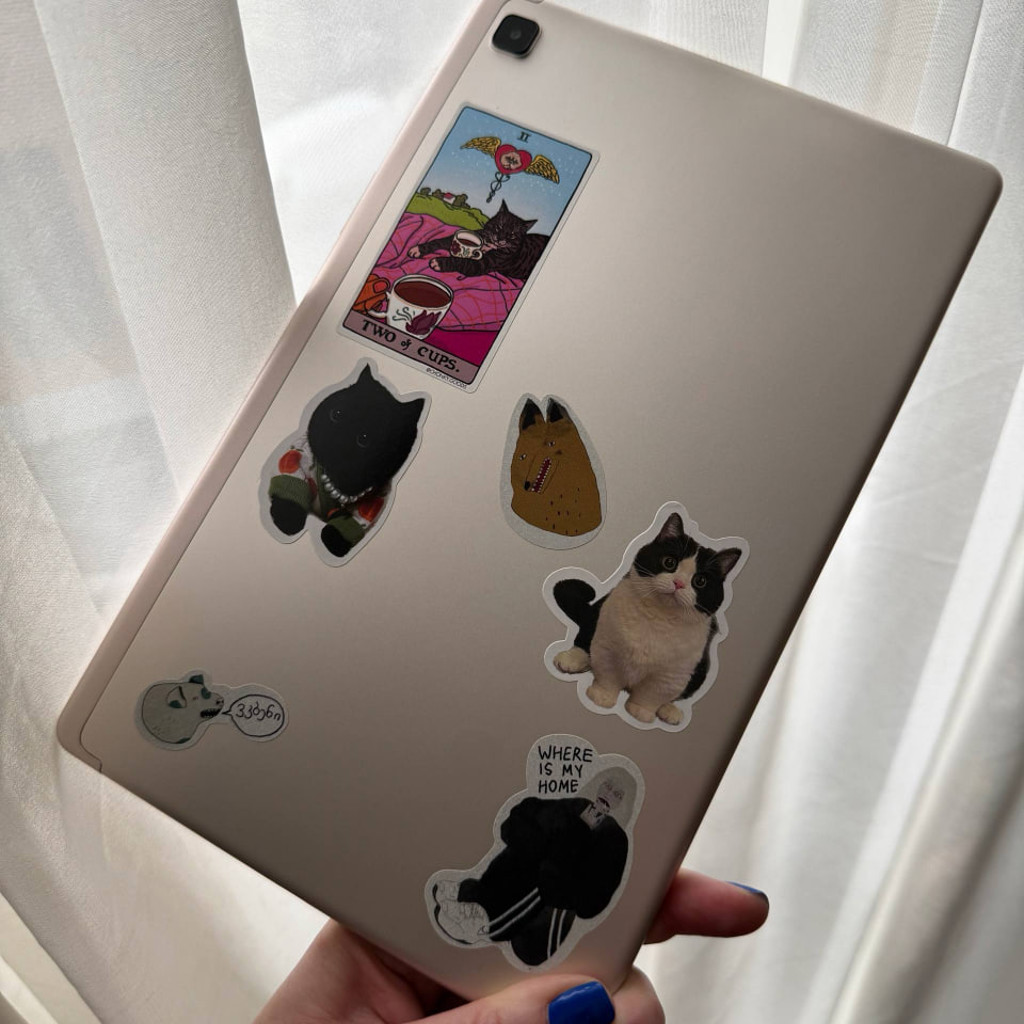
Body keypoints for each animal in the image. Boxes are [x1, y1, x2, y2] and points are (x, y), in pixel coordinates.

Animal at [267, 364, 426, 559]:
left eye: (364, 439)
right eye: (336, 414)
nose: (333, 439)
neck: (338, 480)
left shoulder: (376, 499)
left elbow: (352, 522)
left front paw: (334, 542)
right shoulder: (300, 455)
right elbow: (292, 485)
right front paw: (287, 520)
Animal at [407, 200, 549, 280]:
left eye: (513, 235)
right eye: (500, 226)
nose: (500, 239)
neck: (489, 244)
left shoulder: (481, 264)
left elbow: (461, 261)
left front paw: (438, 262)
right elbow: (440, 241)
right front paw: (418, 249)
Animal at [552, 513, 743, 725]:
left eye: (700, 581)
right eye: (669, 562)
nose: (678, 583)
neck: (659, 618)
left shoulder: (669, 676)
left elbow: (651, 695)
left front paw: (640, 712)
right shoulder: (609, 649)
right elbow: (608, 677)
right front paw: (601, 697)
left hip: (701, 669)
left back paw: (670, 711)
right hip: (596, 618)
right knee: (584, 640)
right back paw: (571, 660)